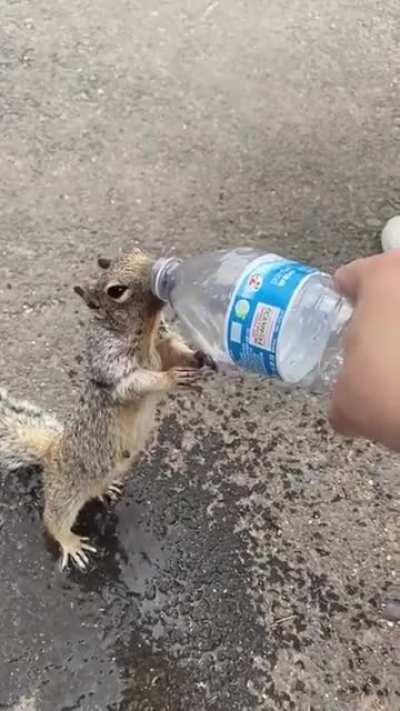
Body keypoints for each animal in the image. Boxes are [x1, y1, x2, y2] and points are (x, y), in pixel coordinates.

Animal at [0, 247, 214, 571]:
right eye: (116, 291)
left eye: (136, 251)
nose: (158, 269)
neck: (146, 331)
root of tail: (50, 453)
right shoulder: (113, 366)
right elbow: (137, 383)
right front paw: (170, 378)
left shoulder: (163, 343)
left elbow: (176, 351)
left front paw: (200, 356)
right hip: (66, 489)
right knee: (54, 519)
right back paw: (71, 543)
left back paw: (105, 490)